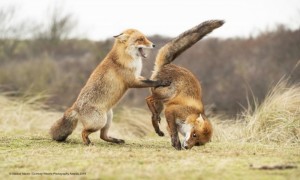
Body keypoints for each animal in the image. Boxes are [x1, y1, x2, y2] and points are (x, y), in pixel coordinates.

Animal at [146, 19, 224, 150]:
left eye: (198, 143)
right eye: (194, 135)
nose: (187, 147)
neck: (190, 115)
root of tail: (167, 65)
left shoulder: (170, 118)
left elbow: (171, 131)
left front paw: (175, 143)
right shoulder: (171, 111)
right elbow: (174, 131)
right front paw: (177, 144)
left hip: (161, 104)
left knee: (152, 115)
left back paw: (157, 128)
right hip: (166, 94)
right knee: (148, 99)